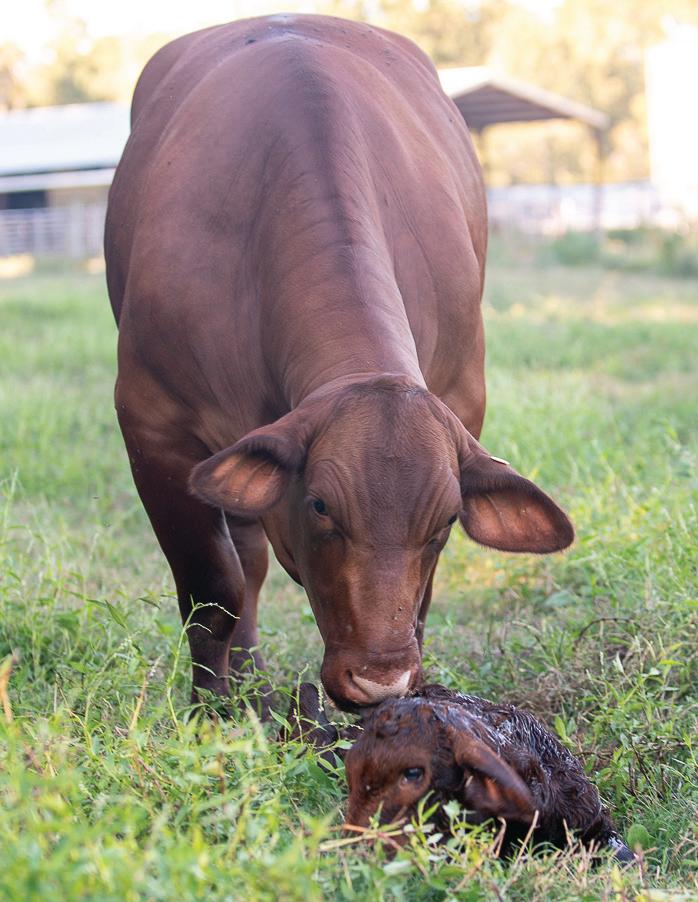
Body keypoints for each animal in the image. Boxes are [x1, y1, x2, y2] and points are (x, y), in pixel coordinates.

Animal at [105, 14, 574, 713]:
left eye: (446, 520)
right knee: (244, 566)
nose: (379, 680)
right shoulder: (151, 422)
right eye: (322, 505)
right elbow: (213, 592)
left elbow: (420, 602)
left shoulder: (464, 400)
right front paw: (211, 713)